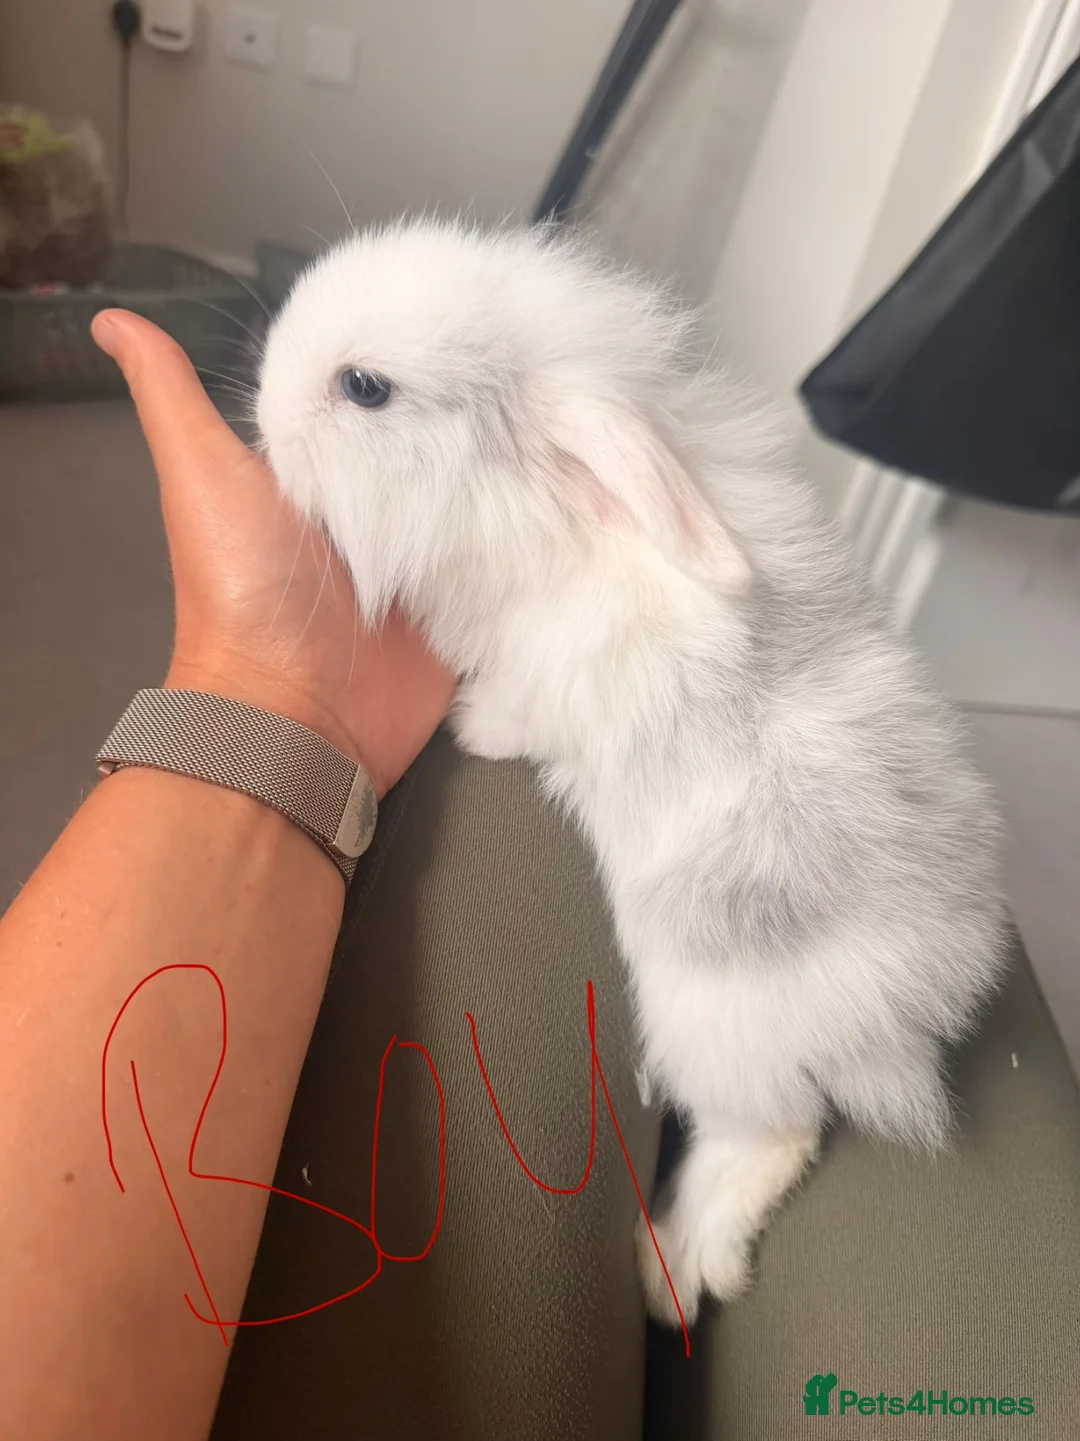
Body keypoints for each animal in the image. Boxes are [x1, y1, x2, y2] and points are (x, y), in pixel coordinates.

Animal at [256, 217, 1007, 1327]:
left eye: (366, 387)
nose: (262, 409)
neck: (530, 516)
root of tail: (926, 1001)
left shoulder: (552, 679)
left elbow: (515, 714)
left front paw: (468, 728)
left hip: (711, 1029)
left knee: (776, 1134)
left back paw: (676, 1269)